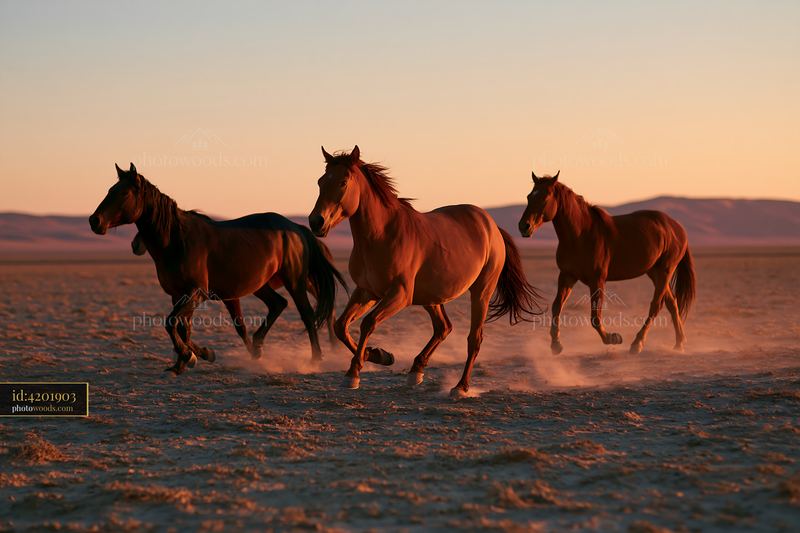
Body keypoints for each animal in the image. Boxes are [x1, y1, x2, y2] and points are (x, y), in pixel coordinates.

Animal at [130, 231, 338, 344]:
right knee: (283, 303)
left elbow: (240, 326)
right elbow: (240, 327)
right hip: (266, 286)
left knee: (317, 308)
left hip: (299, 283)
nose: (135, 245)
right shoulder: (228, 296)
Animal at [309, 146, 543, 396]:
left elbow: (368, 323)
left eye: (343, 182)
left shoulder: (399, 295)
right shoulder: (366, 291)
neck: (381, 235)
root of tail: (491, 226)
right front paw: (379, 355)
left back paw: (460, 387)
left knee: (474, 338)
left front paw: (354, 373)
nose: (316, 222)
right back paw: (416, 372)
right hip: (432, 297)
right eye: (320, 181)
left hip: (481, 292)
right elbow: (341, 326)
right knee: (443, 328)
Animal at [518, 170, 695, 355]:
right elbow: (557, 306)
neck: (580, 235)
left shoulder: (597, 280)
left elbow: (595, 317)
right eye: (529, 196)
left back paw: (637, 343)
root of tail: (677, 227)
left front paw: (613, 338)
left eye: (545, 198)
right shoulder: (567, 276)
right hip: (654, 272)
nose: (524, 226)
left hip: (664, 271)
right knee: (672, 303)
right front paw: (556, 344)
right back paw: (678, 343)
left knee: (656, 305)